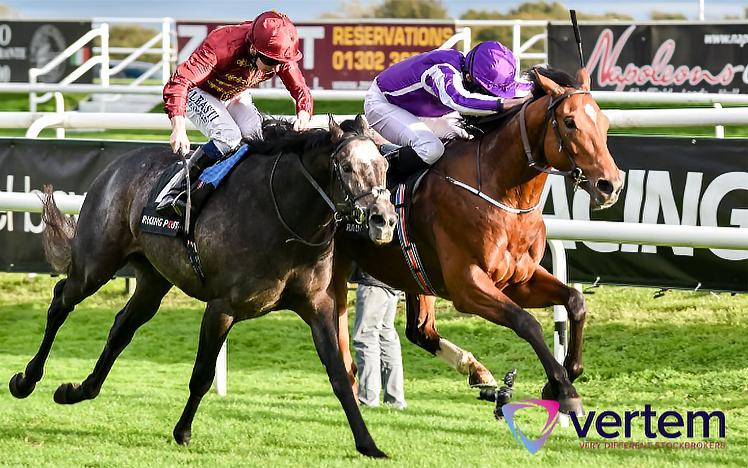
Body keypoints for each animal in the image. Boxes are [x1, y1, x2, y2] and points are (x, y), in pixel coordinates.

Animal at [8, 115, 398, 458]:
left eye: (384, 165)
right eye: (346, 167)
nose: (384, 220)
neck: (285, 220)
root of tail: (116, 165)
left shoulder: (317, 306)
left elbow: (339, 374)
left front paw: (368, 444)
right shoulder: (221, 308)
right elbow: (203, 374)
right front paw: (182, 432)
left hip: (153, 278)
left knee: (121, 328)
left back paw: (77, 390)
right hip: (95, 264)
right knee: (61, 301)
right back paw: (26, 380)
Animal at [336, 66, 624, 414]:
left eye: (604, 122)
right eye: (570, 122)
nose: (611, 185)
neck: (500, 192)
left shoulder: (519, 279)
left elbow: (575, 301)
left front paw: (564, 376)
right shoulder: (467, 284)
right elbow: (526, 322)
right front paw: (564, 389)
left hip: (415, 276)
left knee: (421, 331)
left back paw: (477, 371)